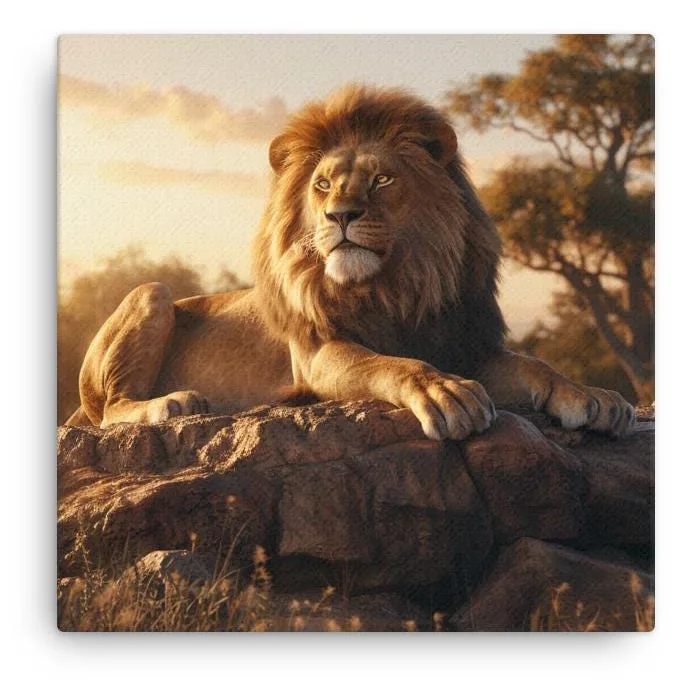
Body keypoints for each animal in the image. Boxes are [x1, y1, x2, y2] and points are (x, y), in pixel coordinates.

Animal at [66, 84, 635, 439]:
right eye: (322, 185)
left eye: (381, 179)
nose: (339, 214)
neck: (399, 284)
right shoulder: (320, 352)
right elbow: (391, 363)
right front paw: (444, 392)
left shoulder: (465, 344)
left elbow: (537, 365)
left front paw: (596, 397)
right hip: (152, 293)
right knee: (110, 409)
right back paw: (172, 404)